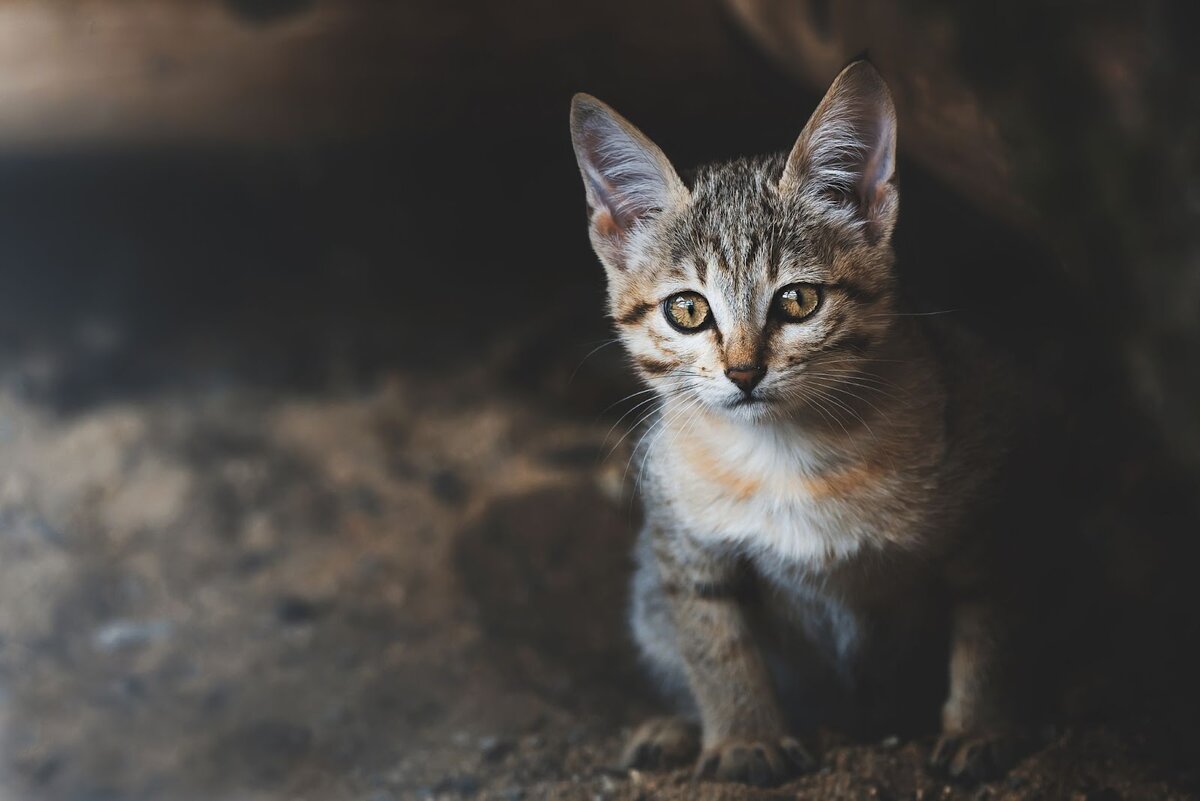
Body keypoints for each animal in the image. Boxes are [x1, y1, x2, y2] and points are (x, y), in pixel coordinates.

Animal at [564, 61, 1051, 781]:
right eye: (687, 310)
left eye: (798, 300)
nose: (743, 372)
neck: (788, 457)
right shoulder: (683, 547)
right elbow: (715, 649)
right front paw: (744, 736)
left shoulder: (991, 510)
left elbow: (988, 630)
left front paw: (981, 725)